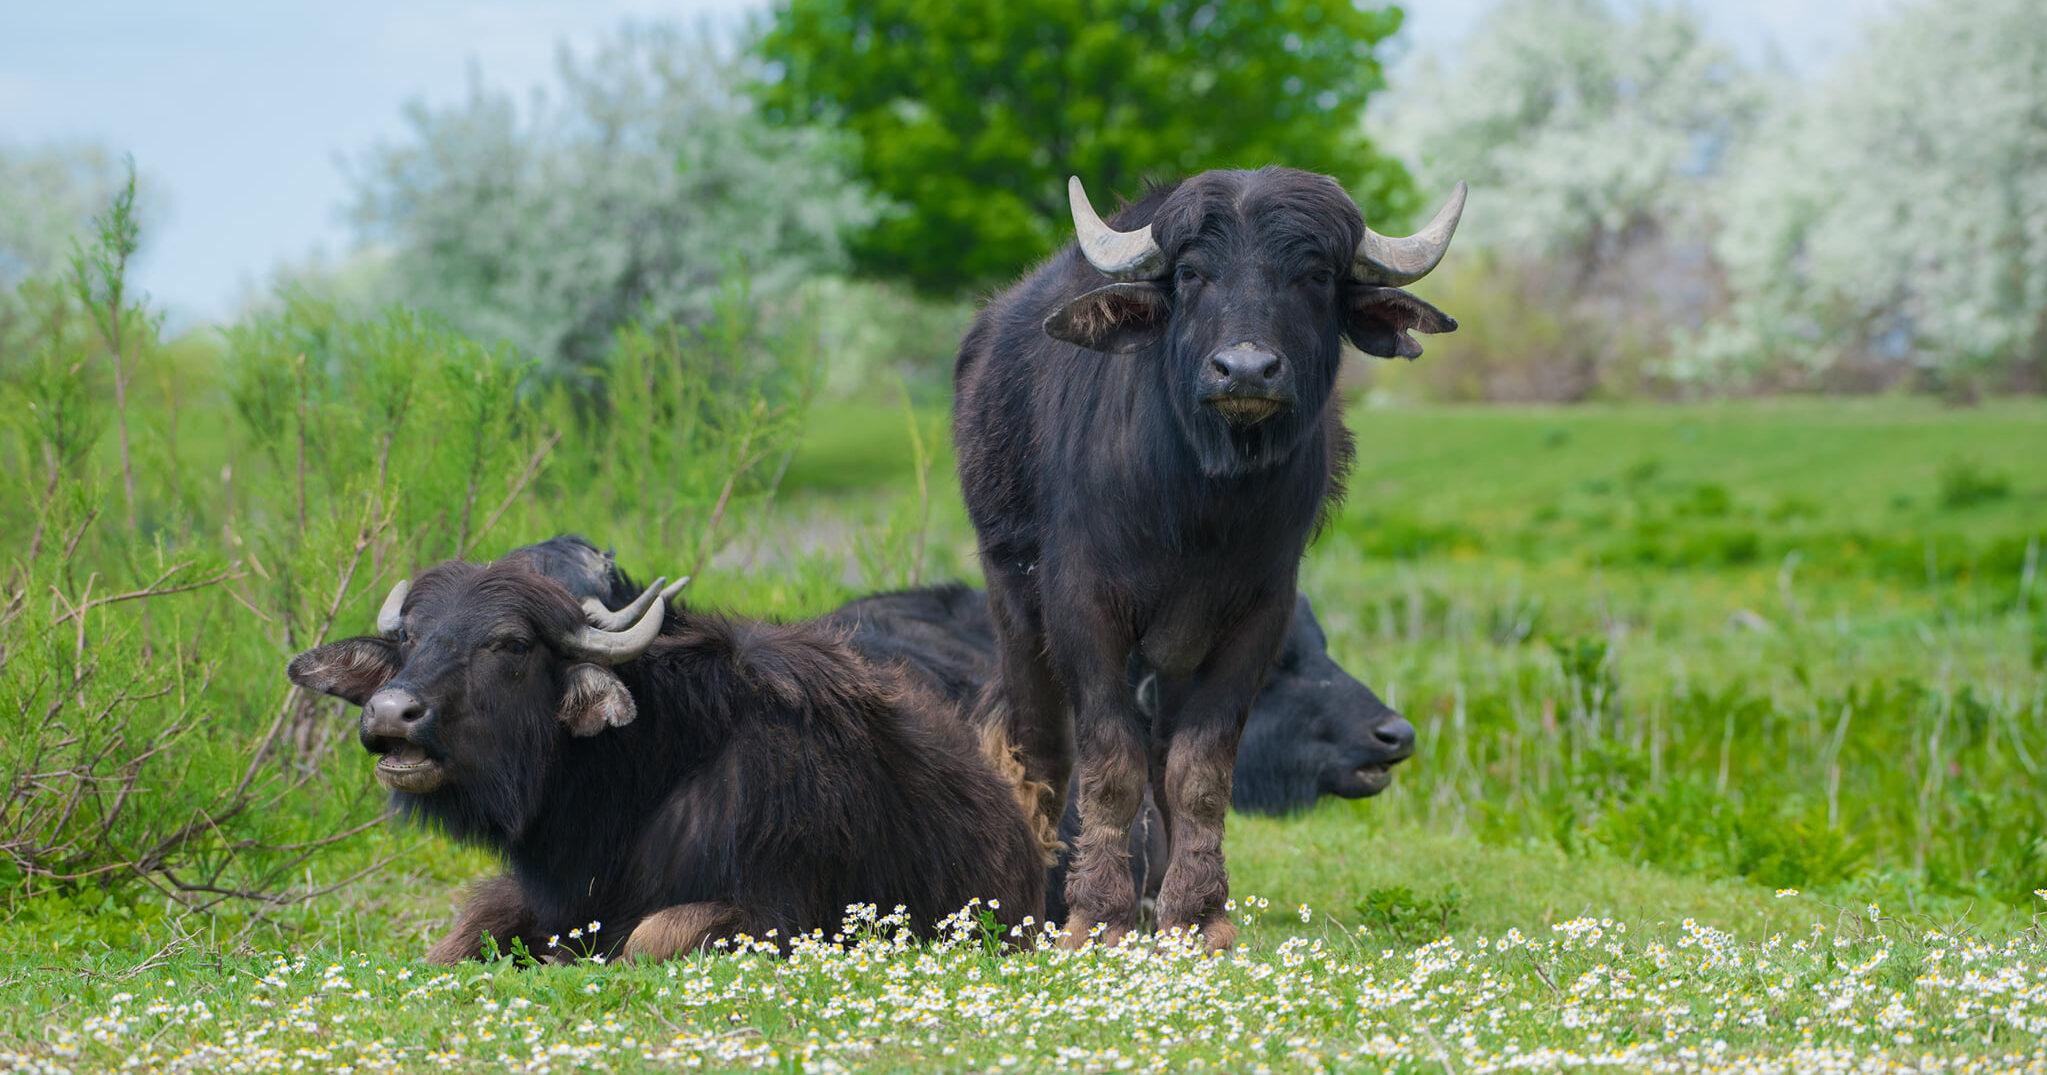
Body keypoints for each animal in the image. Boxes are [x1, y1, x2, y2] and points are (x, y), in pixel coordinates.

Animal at [286, 552, 1048, 962]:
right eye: (409, 637)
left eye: (511, 644)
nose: (391, 713)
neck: (643, 777)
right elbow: (455, 939)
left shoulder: (780, 916)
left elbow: (651, 935)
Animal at [949, 167, 1465, 946]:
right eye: (1192, 274)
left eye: (1315, 275)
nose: (1245, 370)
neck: (1199, 507)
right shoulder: (1082, 606)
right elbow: (1109, 763)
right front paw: (1096, 917)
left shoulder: (1255, 615)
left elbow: (1199, 770)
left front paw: (1198, 916)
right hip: (1012, 595)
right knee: (1040, 745)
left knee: (1164, 752)